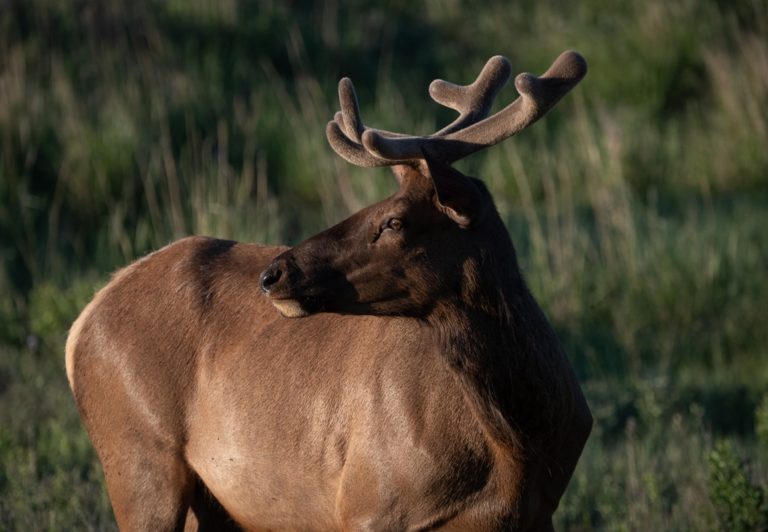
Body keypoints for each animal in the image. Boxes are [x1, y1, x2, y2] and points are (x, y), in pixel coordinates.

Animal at [66, 50, 592, 531]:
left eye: (393, 221)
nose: (273, 274)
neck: (519, 451)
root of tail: (82, 322)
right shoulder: (367, 503)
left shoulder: (537, 513)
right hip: (139, 459)